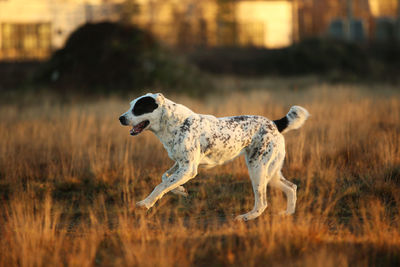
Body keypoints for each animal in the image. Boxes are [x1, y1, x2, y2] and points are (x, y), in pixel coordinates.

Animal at [119, 93, 310, 222]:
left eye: (139, 108)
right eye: (130, 105)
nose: (120, 118)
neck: (174, 123)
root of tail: (274, 123)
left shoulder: (188, 169)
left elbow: (160, 186)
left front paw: (146, 203)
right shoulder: (181, 164)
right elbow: (165, 178)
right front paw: (180, 190)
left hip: (257, 169)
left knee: (262, 203)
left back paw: (245, 217)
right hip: (270, 173)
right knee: (291, 187)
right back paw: (288, 214)